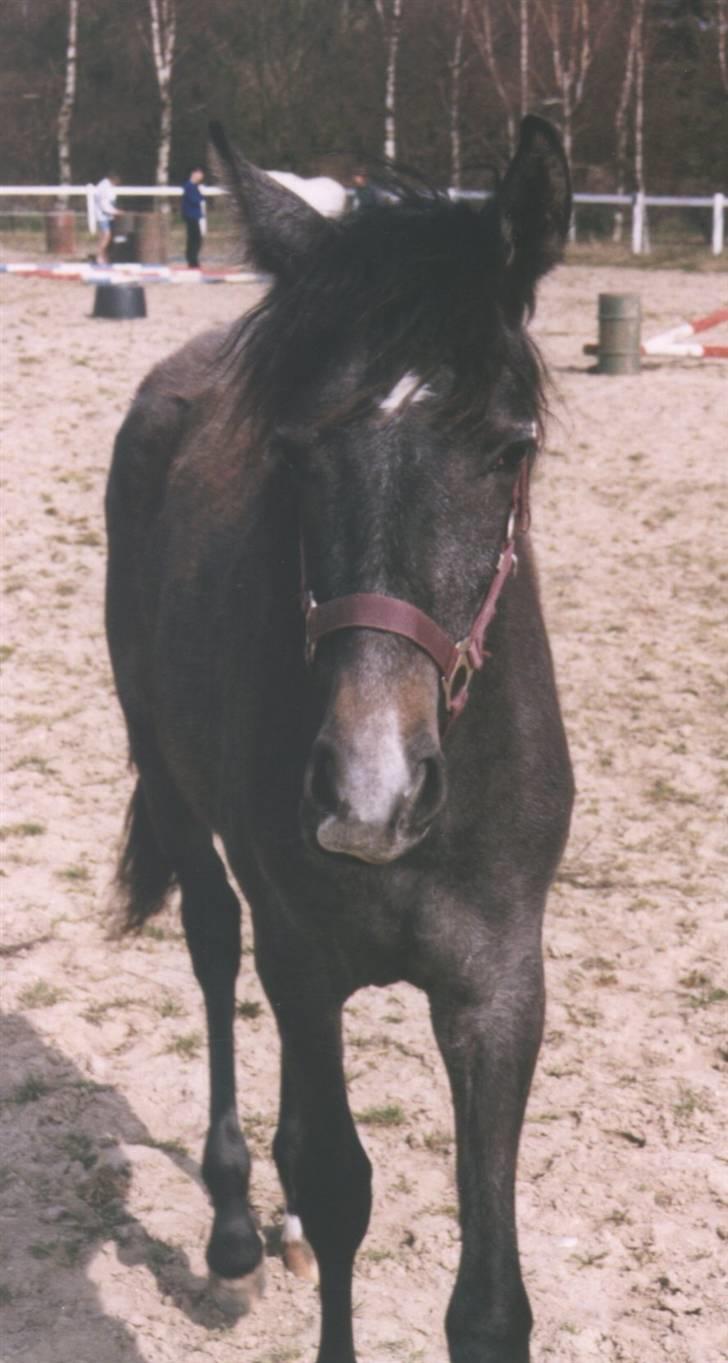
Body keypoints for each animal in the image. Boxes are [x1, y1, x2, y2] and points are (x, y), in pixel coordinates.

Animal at [107, 117, 575, 1363]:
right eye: (291, 452)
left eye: (509, 450)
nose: (370, 791)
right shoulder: (304, 955)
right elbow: (335, 1181)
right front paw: (280, 1209)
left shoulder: (497, 985)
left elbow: (487, 1296)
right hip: (169, 778)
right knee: (214, 943)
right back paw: (233, 1217)